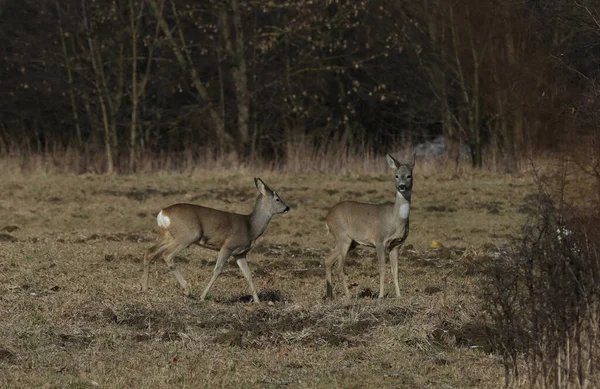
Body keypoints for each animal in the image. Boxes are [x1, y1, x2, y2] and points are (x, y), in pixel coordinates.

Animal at [142, 177, 290, 302]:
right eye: (277, 199)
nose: (287, 207)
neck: (251, 228)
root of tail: (162, 213)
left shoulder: (240, 253)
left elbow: (248, 274)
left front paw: (257, 301)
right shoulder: (228, 246)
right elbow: (217, 270)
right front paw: (202, 297)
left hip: (169, 236)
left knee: (149, 251)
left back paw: (145, 288)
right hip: (189, 235)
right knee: (167, 255)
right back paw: (187, 290)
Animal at [326, 153, 414, 298]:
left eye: (409, 175)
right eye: (396, 175)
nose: (401, 186)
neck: (395, 219)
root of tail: (327, 217)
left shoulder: (397, 244)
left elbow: (395, 270)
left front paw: (399, 296)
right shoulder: (379, 240)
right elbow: (382, 269)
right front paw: (381, 296)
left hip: (350, 242)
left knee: (328, 259)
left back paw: (330, 295)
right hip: (342, 236)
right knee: (339, 267)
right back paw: (348, 296)